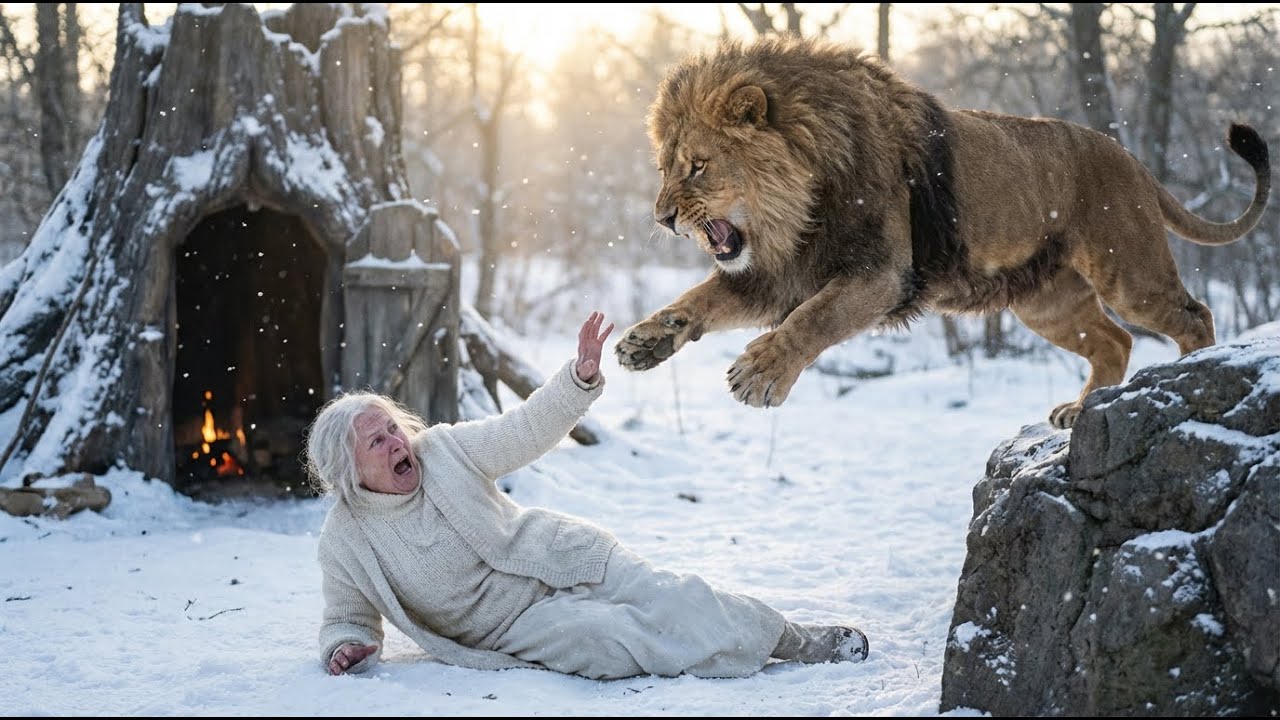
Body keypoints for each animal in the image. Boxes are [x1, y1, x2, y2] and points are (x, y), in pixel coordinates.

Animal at [614, 36, 1271, 429]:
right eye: (664, 169)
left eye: (698, 166)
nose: (662, 218)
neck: (796, 210)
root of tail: (1134, 160)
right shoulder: (776, 275)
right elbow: (700, 299)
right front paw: (646, 341)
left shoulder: (883, 274)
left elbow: (814, 319)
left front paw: (762, 374)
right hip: (1048, 303)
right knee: (1115, 342)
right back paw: (1080, 412)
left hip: (1128, 271)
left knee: (1193, 315)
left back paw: (1189, 377)